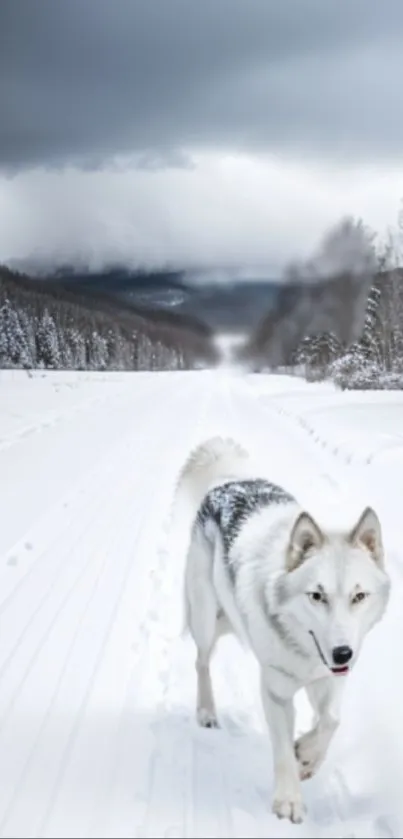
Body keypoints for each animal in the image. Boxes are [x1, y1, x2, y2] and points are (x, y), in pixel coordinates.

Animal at [176, 436, 392, 824]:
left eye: (359, 596)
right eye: (317, 596)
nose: (343, 653)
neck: (302, 649)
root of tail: (229, 482)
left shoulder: (328, 679)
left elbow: (331, 720)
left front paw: (306, 757)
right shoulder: (276, 692)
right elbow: (281, 753)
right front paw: (288, 801)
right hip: (205, 617)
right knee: (201, 661)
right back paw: (207, 713)